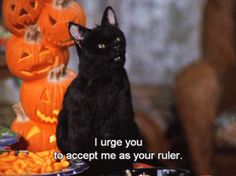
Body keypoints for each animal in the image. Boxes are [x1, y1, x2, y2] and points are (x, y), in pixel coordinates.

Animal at [56, 6, 143, 173]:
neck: (105, 80)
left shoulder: (120, 114)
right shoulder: (81, 121)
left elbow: (115, 145)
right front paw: (95, 169)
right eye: (101, 46)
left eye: (117, 39)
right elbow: (88, 148)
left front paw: (119, 168)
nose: (117, 46)